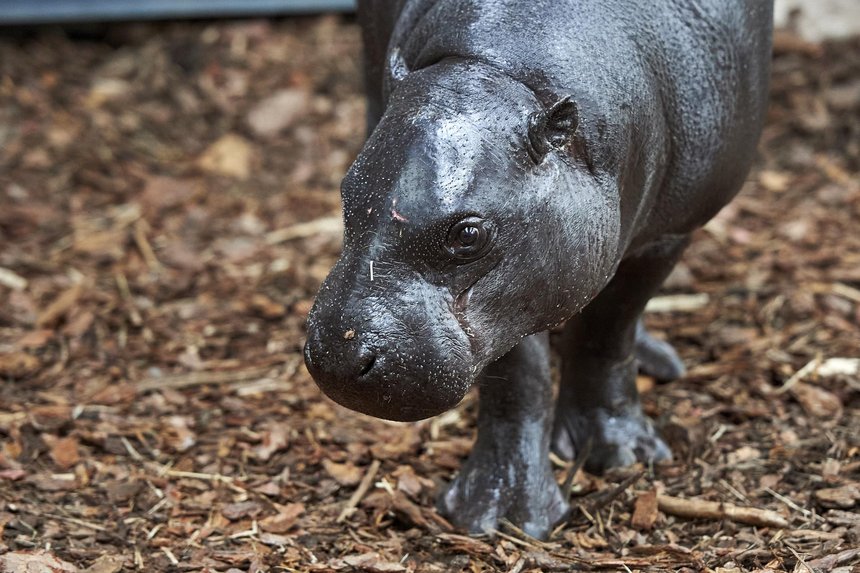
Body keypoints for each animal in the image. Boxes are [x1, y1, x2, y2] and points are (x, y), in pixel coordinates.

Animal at [302, 0, 772, 536]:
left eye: (468, 234)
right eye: (346, 193)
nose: (338, 357)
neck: (501, 70)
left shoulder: (669, 232)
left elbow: (610, 328)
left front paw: (622, 455)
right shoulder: (524, 284)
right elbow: (519, 374)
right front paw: (497, 513)